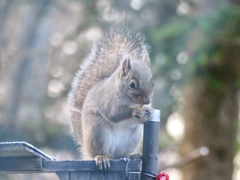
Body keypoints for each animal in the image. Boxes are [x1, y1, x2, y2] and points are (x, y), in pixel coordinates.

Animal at [68, 19, 154, 170]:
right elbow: (114, 114)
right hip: (98, 132)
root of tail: (87, 150)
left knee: (120, 155)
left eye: (153, 83)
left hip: (133, 137)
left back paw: (131, 155)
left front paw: (149, 112)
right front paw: (134, 112)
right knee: (101, 152)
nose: (147, 101)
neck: (131, 101)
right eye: (132, 84)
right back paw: (102, 157)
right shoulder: (107, 100)